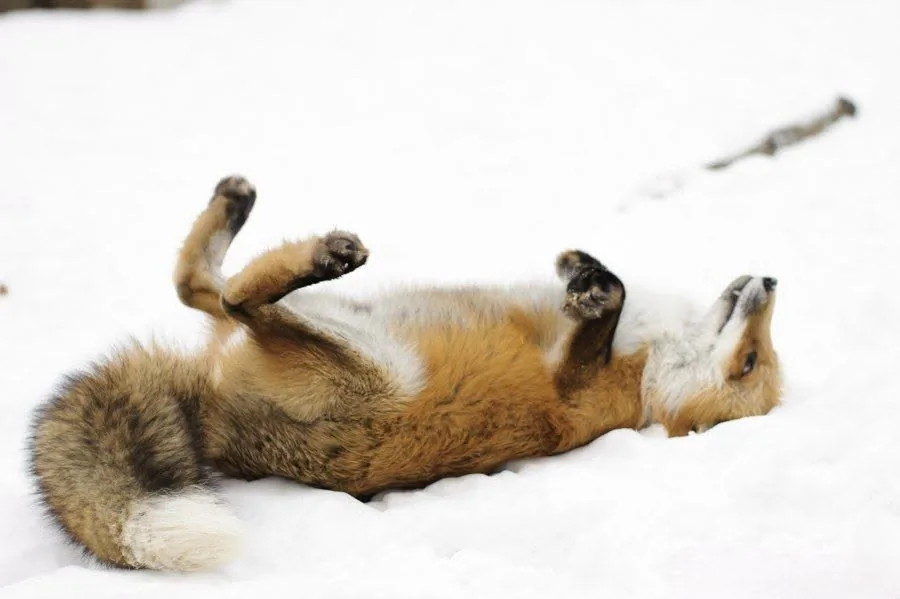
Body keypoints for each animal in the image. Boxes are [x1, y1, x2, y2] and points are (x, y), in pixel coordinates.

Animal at [28, 175, 782, 573]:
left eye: (750, 362)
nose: (771, 280)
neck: (648, 377)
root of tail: (213, 419)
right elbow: (610, 285)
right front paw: (582, 269)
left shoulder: (576, 387)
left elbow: (605, 309)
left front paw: (596, 291)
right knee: (200, 287)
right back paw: (237, 204)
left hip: (362, 360)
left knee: (236, 296)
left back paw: (319, 253)